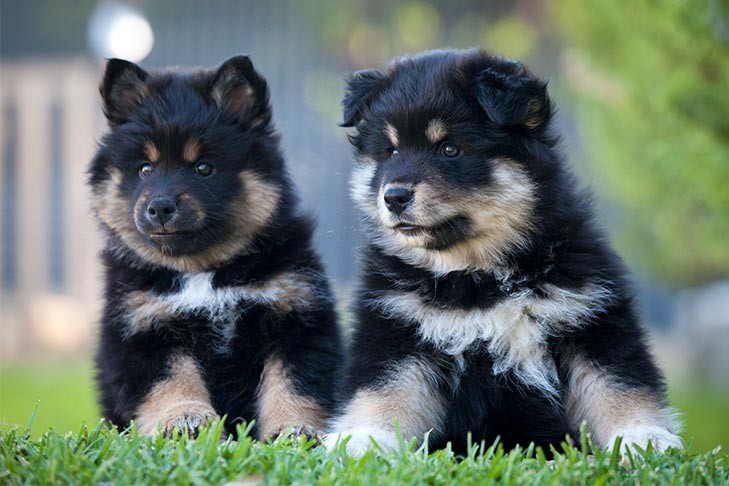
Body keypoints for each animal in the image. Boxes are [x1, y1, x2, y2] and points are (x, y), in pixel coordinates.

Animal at [87, 55, 342, 438]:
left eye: (204, 167)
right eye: (145, 169)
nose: (160, 207)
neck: (203, 271)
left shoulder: (295, 315)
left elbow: (292, 383)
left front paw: (296, 429)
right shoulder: (145, 327)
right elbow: (172, 381)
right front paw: (184, 421)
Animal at [328, 48, 680, 456]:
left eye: (450, 149)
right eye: (391, 151)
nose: (394, 196)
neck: (480, 275)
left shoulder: (590, 316)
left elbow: (617, 385)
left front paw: (645, 436)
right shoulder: (398, 326)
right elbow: (385, 388)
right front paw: (362, 437)